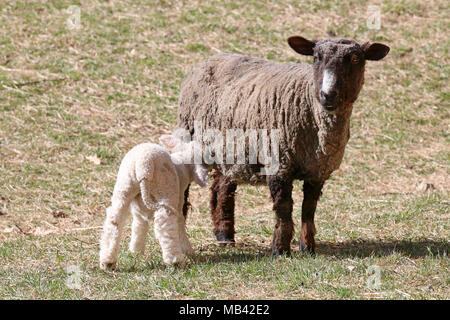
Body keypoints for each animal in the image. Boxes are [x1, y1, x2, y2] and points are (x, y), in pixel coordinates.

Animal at [99, 133, 208, 270]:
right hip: (166, 189)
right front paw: (189, 252)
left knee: (114, 220)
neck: (182, 163)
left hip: (124, 186)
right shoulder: (178, 201)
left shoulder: (138, 208)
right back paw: (175, 261)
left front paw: (136, 251)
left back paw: (107, 261)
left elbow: (139, 223)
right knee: (164, 223)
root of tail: (143, 166)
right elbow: (180, 225)